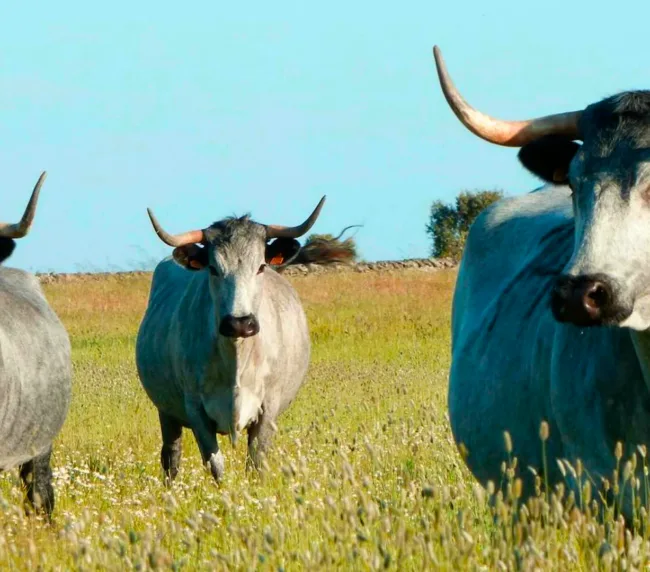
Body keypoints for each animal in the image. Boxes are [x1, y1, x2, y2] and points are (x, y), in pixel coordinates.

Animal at [135, 197, 326, 482]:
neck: (237, 357)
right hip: (166, 412)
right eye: (213, 269)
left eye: (261, 267)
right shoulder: (196, 411)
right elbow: (216, 465)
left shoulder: (268, 410)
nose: (239, 323)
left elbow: (256, 462)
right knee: (171, 455)